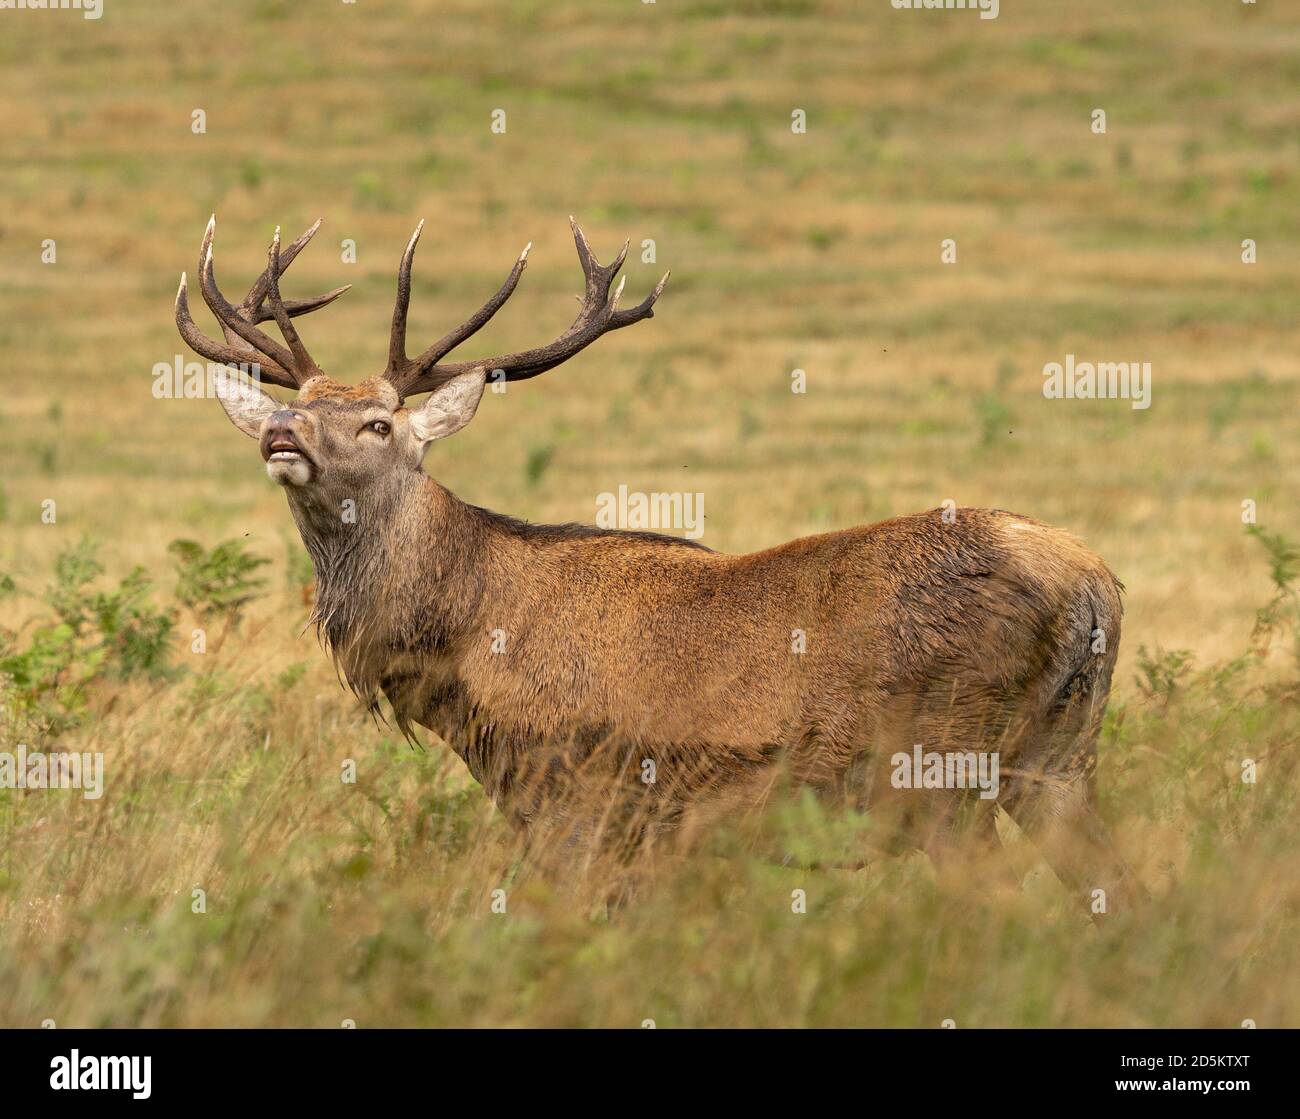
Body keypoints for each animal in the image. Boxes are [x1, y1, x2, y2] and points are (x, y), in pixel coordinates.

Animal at [178, 215, 1144, 909]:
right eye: (303, 401)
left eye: (379, 422)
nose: (279, 430)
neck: (466, 644)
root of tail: (1095, 584)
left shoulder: (575, 794)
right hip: (1061, 757)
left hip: (945, 764)